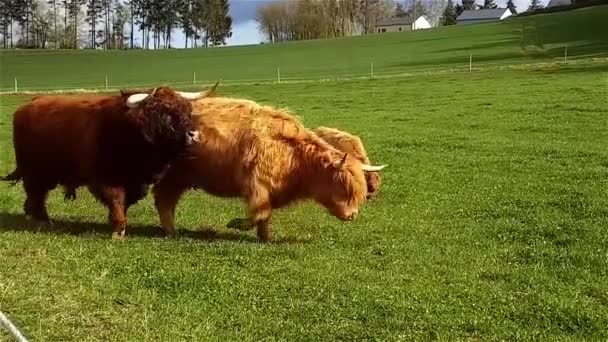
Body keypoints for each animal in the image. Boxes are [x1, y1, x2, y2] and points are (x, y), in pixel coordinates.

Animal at [1, 82, 218, 238]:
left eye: (186, 110)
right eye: (164, 113)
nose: (193, 134)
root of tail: (29, 104)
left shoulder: (134, 182)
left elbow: (125, 202)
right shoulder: (106, 178)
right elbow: (116, 200)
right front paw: (118, 228)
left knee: (36, 195)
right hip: (34, 171)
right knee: (36, 194)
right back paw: (42, 220)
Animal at [151, 96, 384, 240]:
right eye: (343, 186)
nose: (353, 215)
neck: (295, 157)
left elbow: (265, 216)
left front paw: (265, 237)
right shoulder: (257, 185)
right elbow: (260, 213)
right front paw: (236, 224)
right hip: (172, 176)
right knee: (164, 201)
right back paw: (171, 232)